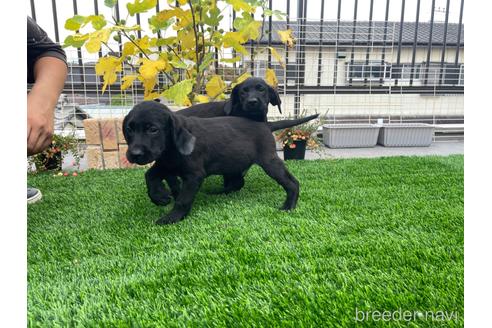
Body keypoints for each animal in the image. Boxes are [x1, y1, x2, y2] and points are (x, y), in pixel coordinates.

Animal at [123, 101, 300, 226]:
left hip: (269, 161)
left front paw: (173, 217)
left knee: (292, 182)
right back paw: (219, 192)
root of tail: (266, 124)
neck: (170, 149)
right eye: (129, 129)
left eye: (153, 129)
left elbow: (182, 200)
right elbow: (149, 175)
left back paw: (289, 206)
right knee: (237, 183)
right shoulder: (166, 164)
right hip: (235, 162)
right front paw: (159, 196)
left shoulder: (194, 175)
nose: (135, 154)